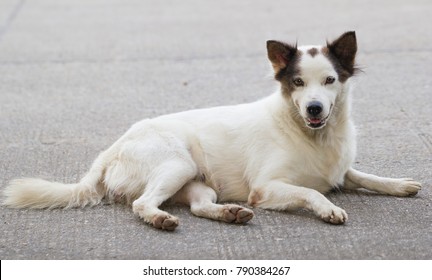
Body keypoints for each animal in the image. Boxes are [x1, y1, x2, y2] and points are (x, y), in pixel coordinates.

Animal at [3, 32, 422, 230]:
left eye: (330, 80)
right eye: (298, 83)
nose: (314, 108)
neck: (309, 133)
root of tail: (113, 148)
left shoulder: (339, 170)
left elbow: (363, 176)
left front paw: (398, 184)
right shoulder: (265, 188)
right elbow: (309, 192)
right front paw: (329, 208)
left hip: (199, 182)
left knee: (201, 206)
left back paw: (229, 214)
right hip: (178, 165)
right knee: (143, 204)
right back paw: (160, 220)